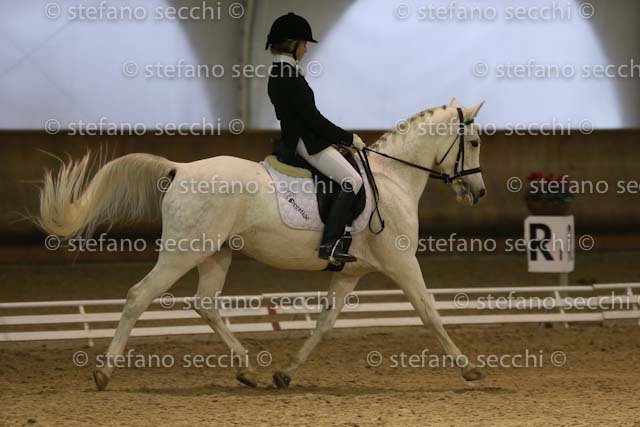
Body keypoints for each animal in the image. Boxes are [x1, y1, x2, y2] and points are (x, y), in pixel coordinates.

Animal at [36, 98, 486, 390]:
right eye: (475, 142)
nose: (479, 193)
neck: (392, 179)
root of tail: (181, 169)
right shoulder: (402, 263)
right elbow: (430, 313)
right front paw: (469, 369)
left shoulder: (350, 274)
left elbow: (324, 324)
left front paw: (286, 373)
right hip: (183, 252)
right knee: (138, 296)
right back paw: (104, 372)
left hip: (215, 253)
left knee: (205, 303)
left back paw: (246, 369)